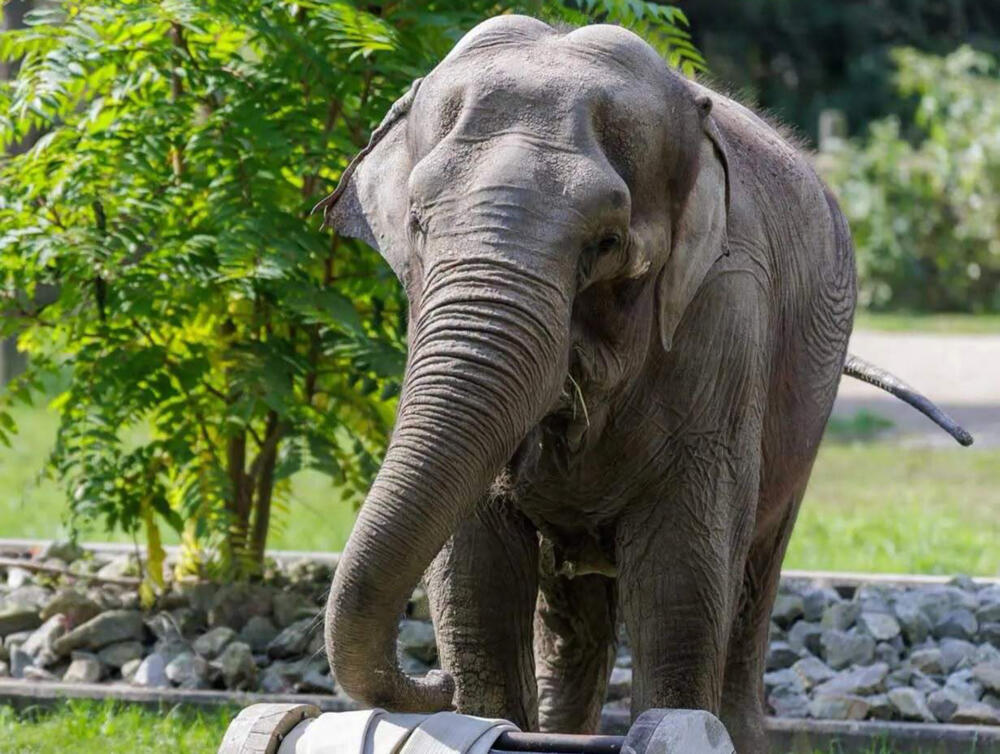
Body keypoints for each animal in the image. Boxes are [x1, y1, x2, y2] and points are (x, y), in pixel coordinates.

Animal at [316, 16, 972, 753]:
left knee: (749, 588)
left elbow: (681, 575)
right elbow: (473, 573)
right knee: (572, 627)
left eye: (604, 243)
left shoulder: (724, 313)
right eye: (418, 224)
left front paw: (674, 723)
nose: (430, 679)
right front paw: (478, 712)